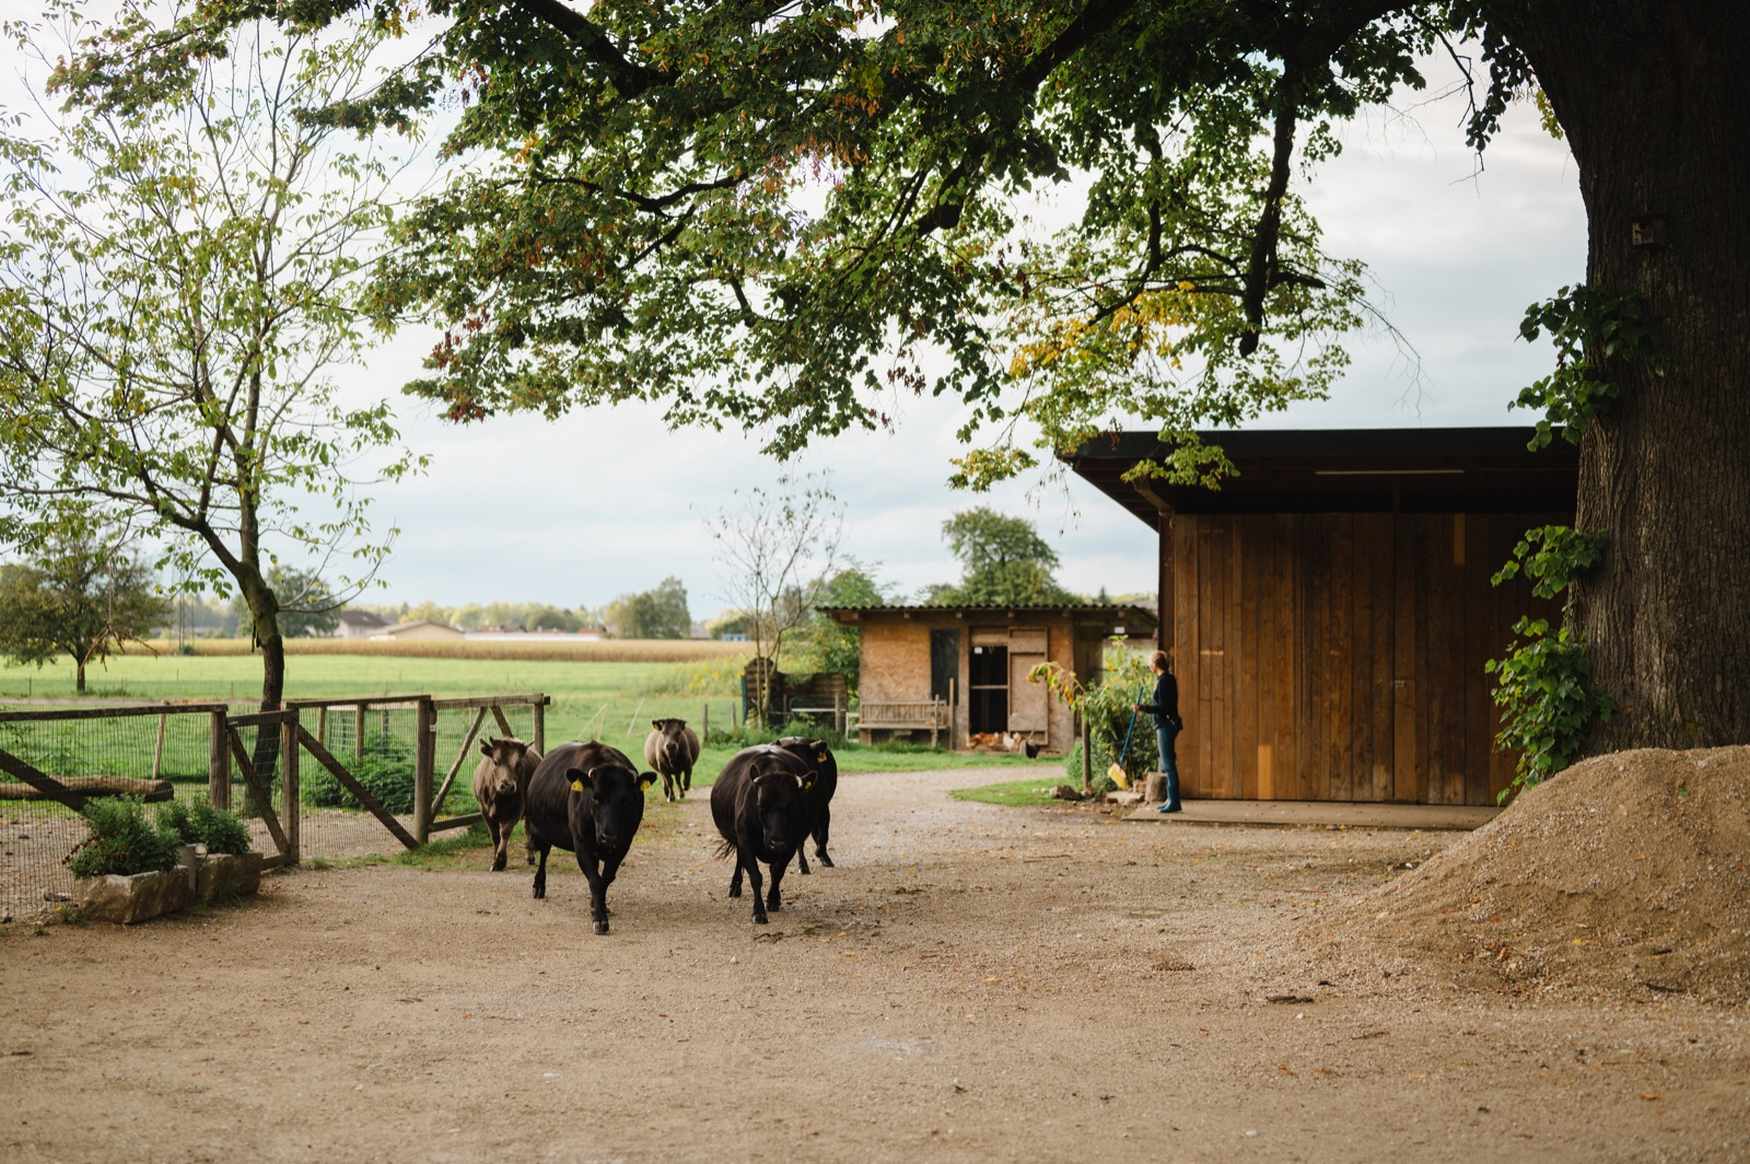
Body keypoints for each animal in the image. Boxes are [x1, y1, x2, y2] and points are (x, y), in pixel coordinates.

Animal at [521, 745, 658, 938]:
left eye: (625, 800)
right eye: (595, 797)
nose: (608, 836)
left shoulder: (623, 844)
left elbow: (605, 879)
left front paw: (597, 905)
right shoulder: (582, 844)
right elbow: (594, 880)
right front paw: (600, 920)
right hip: (542, 830)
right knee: (544, 855)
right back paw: (539, 886)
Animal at [707, 745, 815, 924]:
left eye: (791, 805)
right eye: (760, 805)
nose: (776, 842)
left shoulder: (790, 844)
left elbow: (777, 871)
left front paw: (773, 900)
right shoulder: (745, 841)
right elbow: (755, 876)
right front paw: (758, 912)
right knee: (740, 861)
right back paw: (735, 887)